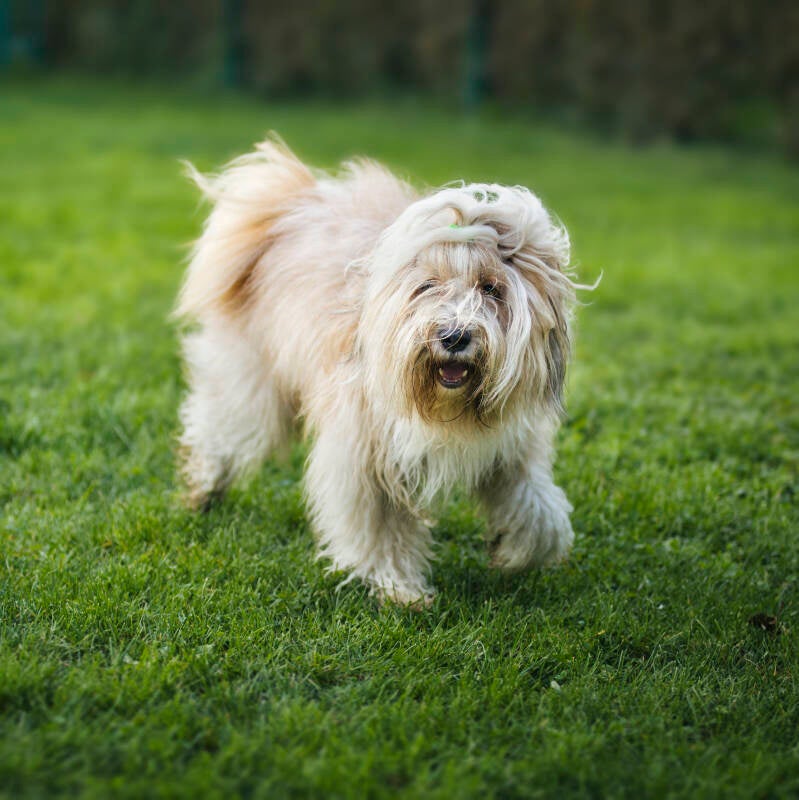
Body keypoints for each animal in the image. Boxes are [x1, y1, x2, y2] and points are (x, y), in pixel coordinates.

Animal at [176, 136, 585, 607]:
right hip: (251, 377)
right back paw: (205, 489)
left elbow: (537, 507)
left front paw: (517, 549)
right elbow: (380, 525)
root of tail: (292, 203)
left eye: (491, 288)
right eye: (427, 286)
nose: (453, 336)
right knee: (221, 428)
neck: (448, 410)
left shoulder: (511, 446)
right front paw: (399, 588)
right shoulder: (367, 451)